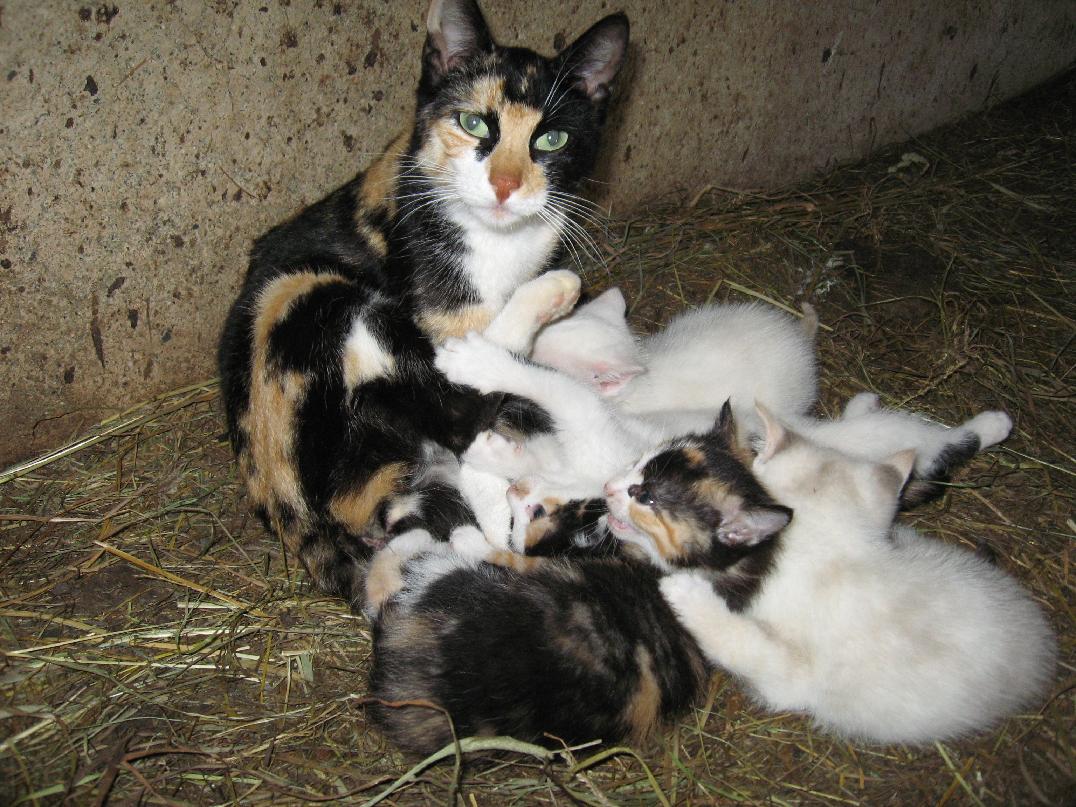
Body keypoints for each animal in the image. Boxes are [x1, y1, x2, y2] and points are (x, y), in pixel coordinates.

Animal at [216, 0, 630, 608]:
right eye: (473, 122)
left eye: (552, 138)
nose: (505, 185)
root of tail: (286, 508)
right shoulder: (441, 310)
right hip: (314, 300)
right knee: (458, 405)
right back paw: (552, 292)